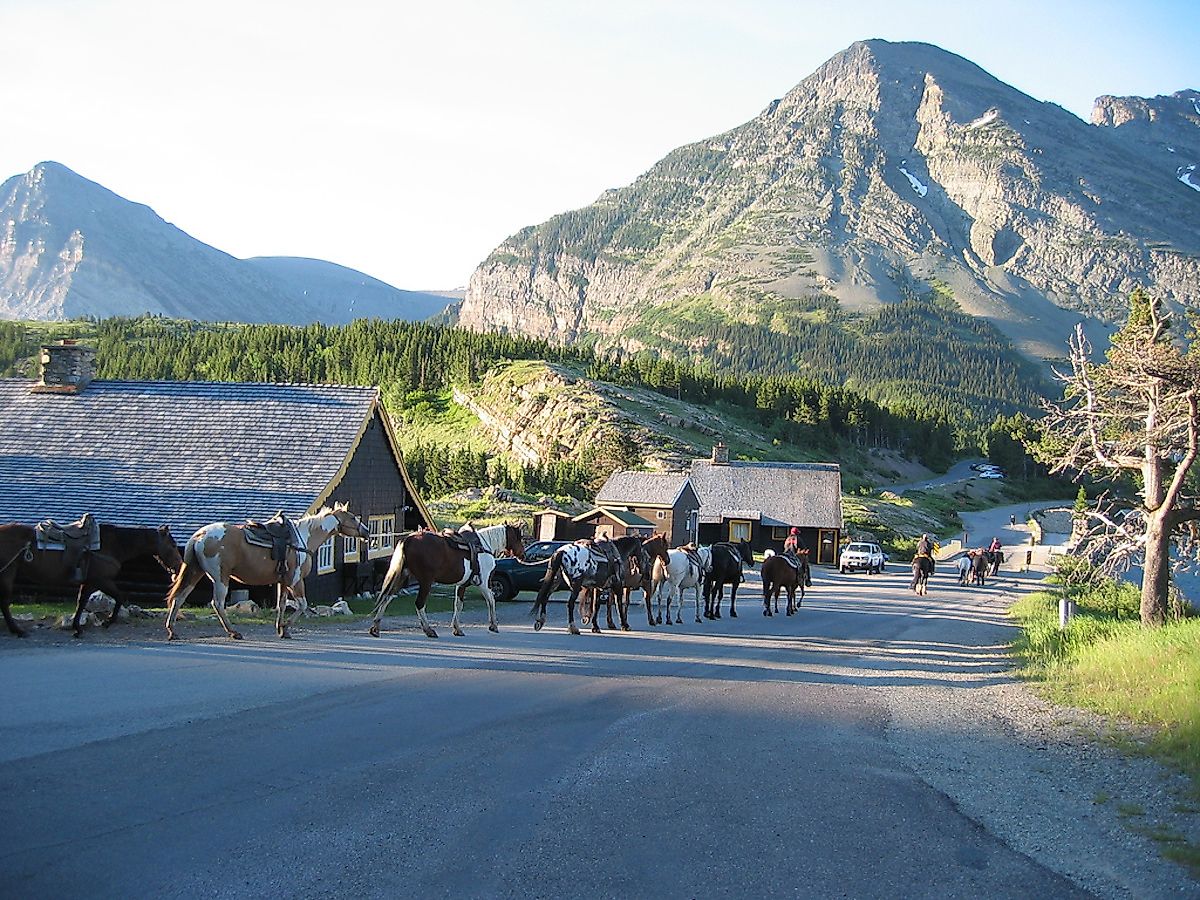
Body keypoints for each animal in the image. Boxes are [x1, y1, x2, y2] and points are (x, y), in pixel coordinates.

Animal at [0, 520, 182, 643]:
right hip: (7, 573)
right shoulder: (100, 580)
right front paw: (108, 621)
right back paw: (18, 630)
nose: (180, 566)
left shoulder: (90, 582)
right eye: (173, 545)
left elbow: (81, 602)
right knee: (4, 602)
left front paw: (77, 628)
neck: (114, 544)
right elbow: (119, 597)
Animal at [164, 504, 367, 643]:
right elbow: (302, 605)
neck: (303, 538)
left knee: (179, 598)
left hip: (195, 572)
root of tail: (198, 536)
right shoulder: (295, 580)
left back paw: (172, 631)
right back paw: (233, 632)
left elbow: (282, 604)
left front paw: (281, 629)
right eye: (352, 518)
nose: (366, 531)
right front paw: (286, 628)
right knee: (218, 604)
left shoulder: (283, 581)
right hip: (220, 577)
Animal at [367, 520, 523, 643]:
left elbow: (458, 605)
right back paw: (429, 630)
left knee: (387, 597)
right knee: (419, 604)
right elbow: (491, 601)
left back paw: (375, 628)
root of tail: (408, 540)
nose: (523, 554)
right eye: (520, 537)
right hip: (426, 581)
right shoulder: (484, 582)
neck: (484, 546)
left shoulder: (462, 584)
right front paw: (493, 625)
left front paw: (457, 629)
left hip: (402, 577)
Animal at [537, 532, 676, 638]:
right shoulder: (622, 586)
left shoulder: (602, 586)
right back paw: (573, 628)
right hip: (576, 585)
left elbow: (598, 605)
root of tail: (562, 552)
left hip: (556, 581)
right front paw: (626, 624)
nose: (668, 560)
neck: (619, 553)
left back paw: (540, 621)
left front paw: (596, 626)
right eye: (665, 546)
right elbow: (624, 603)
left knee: (545, 596)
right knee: (570, 604)